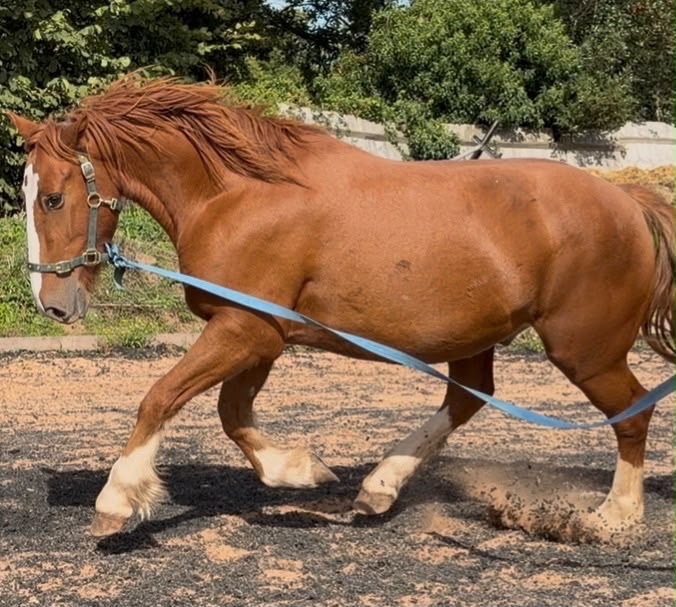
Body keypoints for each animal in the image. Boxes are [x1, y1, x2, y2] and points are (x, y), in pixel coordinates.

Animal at [7, 76, 674, 540]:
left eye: (53, 197)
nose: (51, 304)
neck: (236, 197)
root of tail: (630, 203)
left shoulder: (243, 331)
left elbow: (162, 397)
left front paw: (116, 501)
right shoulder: (260, 335)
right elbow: (232, 415)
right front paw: (302, 471)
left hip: (584, 349)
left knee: (633, 414)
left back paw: (614, 515)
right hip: (478, 335)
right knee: (467, 398)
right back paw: (377, 489)